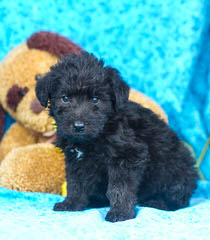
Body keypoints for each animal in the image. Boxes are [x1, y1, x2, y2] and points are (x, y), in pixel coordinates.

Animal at [35, 51, 198, 222]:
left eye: (95, 99)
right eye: (65, 98)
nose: (78, 126)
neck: (97, 135)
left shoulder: (127, 156)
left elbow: (120, 188)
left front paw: (121, 212)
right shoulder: (75, 160)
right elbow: (75, 183)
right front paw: (72, 203)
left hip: (174, 173)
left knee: (178, 201)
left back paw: (157, 202)